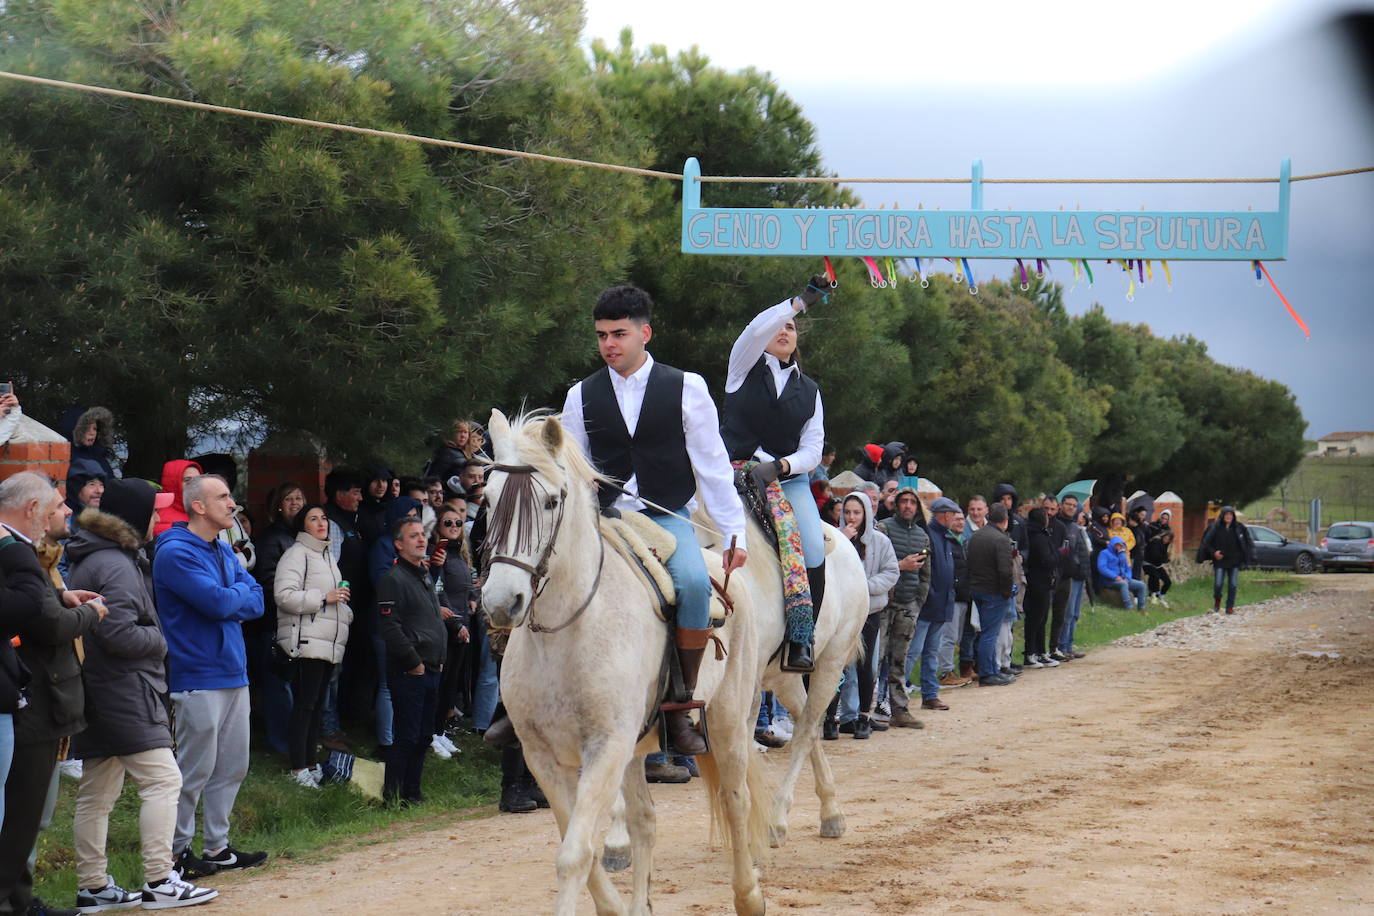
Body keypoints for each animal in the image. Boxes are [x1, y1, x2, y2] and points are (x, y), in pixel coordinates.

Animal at [478, 414, 769, 916]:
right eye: (490, 499)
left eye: (550, 501)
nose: (501, 602)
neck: (567, 633)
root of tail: (726, 573)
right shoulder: (544, 758)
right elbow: (580, 844)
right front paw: (614, 906)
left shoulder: (605, 749)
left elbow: (575, 855)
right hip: (638, 749)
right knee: (644, 821)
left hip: (728, 723)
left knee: (735, 800)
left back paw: (748, 896)